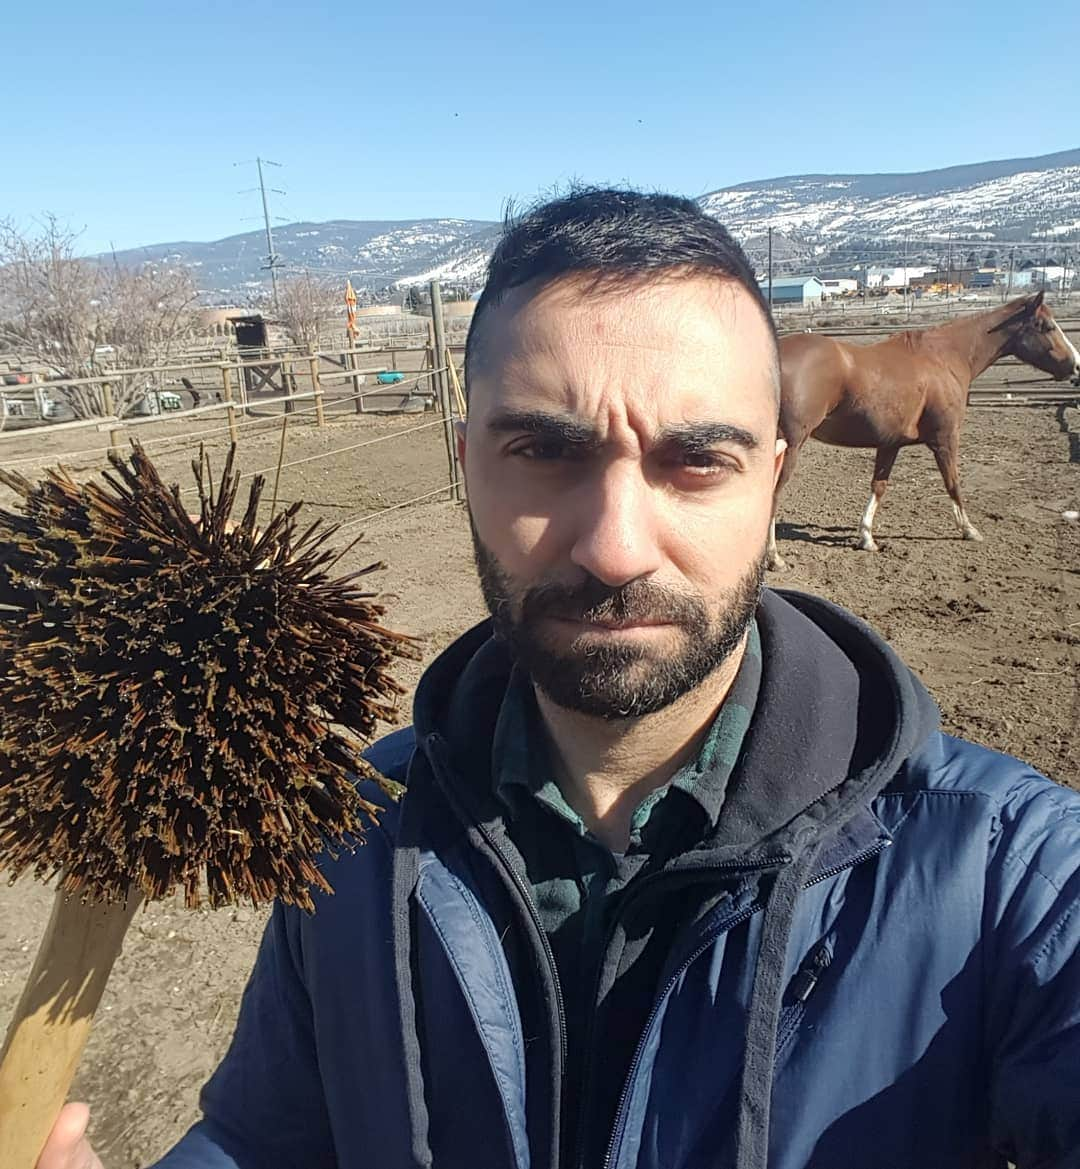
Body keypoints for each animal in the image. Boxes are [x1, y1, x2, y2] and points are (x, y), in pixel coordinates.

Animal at [766, 289, 1080, 568]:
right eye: (1047, 326)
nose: (1075, 365)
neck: (945, 357)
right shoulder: (945, 439)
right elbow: (953, 482)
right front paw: (969, 530)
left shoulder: (889, 444)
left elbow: (879, 486)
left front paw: (867, 538)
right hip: (790, 446)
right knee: (773, 494)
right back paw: (774, 557)